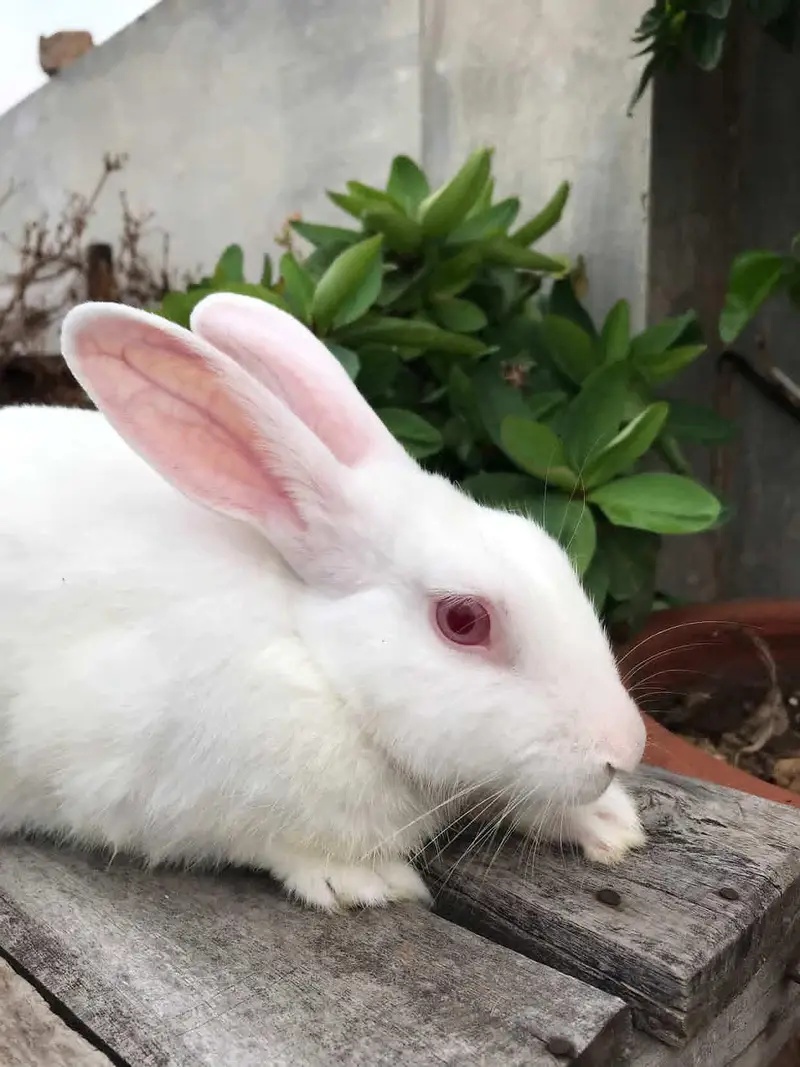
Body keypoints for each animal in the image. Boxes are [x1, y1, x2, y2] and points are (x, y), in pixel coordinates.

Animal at [0, 292, 647, 910]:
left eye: (548, 551)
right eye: (463, 619)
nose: (626, 748)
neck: (319, 657)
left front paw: (611, 824)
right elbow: (271, 843)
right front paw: (367, 883)